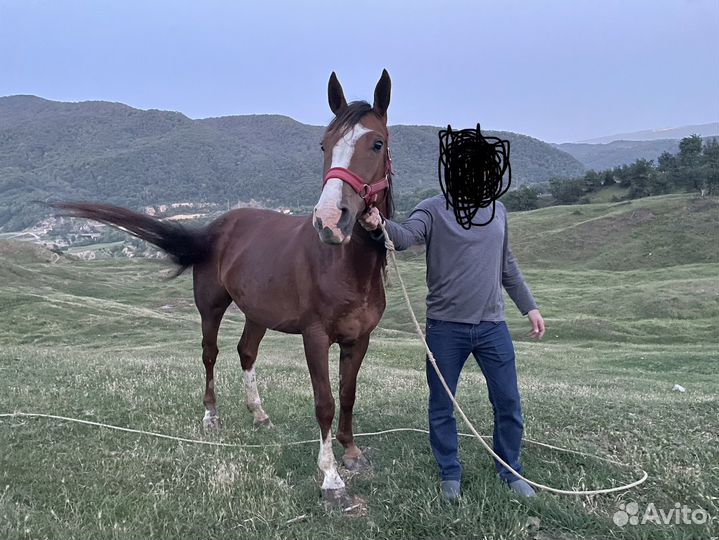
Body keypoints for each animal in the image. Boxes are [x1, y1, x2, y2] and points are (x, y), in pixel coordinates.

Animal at [53, 70, 394, 503]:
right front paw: (331, 479)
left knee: (246, 352)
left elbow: (348, 396)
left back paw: (260, 415)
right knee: (210, 355)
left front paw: (351, 454)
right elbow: (325, 403)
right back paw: (211, 416)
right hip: (211, 307)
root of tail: (215, 228)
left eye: (376, 143)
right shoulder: (315, 337)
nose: (330, 220)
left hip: (258, 312)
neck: (346, 266)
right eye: (325, 144)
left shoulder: (359, 338)